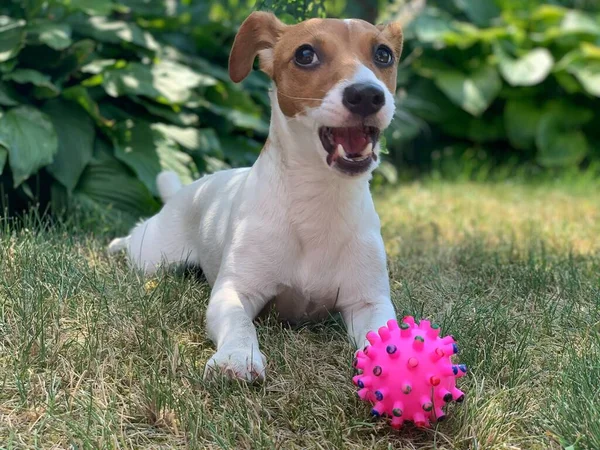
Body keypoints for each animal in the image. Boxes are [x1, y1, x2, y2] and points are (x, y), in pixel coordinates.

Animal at [110, 12, 406, 382]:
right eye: (305, 54)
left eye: (383, 55)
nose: (367, 94)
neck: (317, 198)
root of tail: (187, 189)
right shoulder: (234, 291)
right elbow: (239, 323)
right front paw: (237, 356)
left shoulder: (369, 301)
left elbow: (383, 331)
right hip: (151, 256)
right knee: (134, 240)